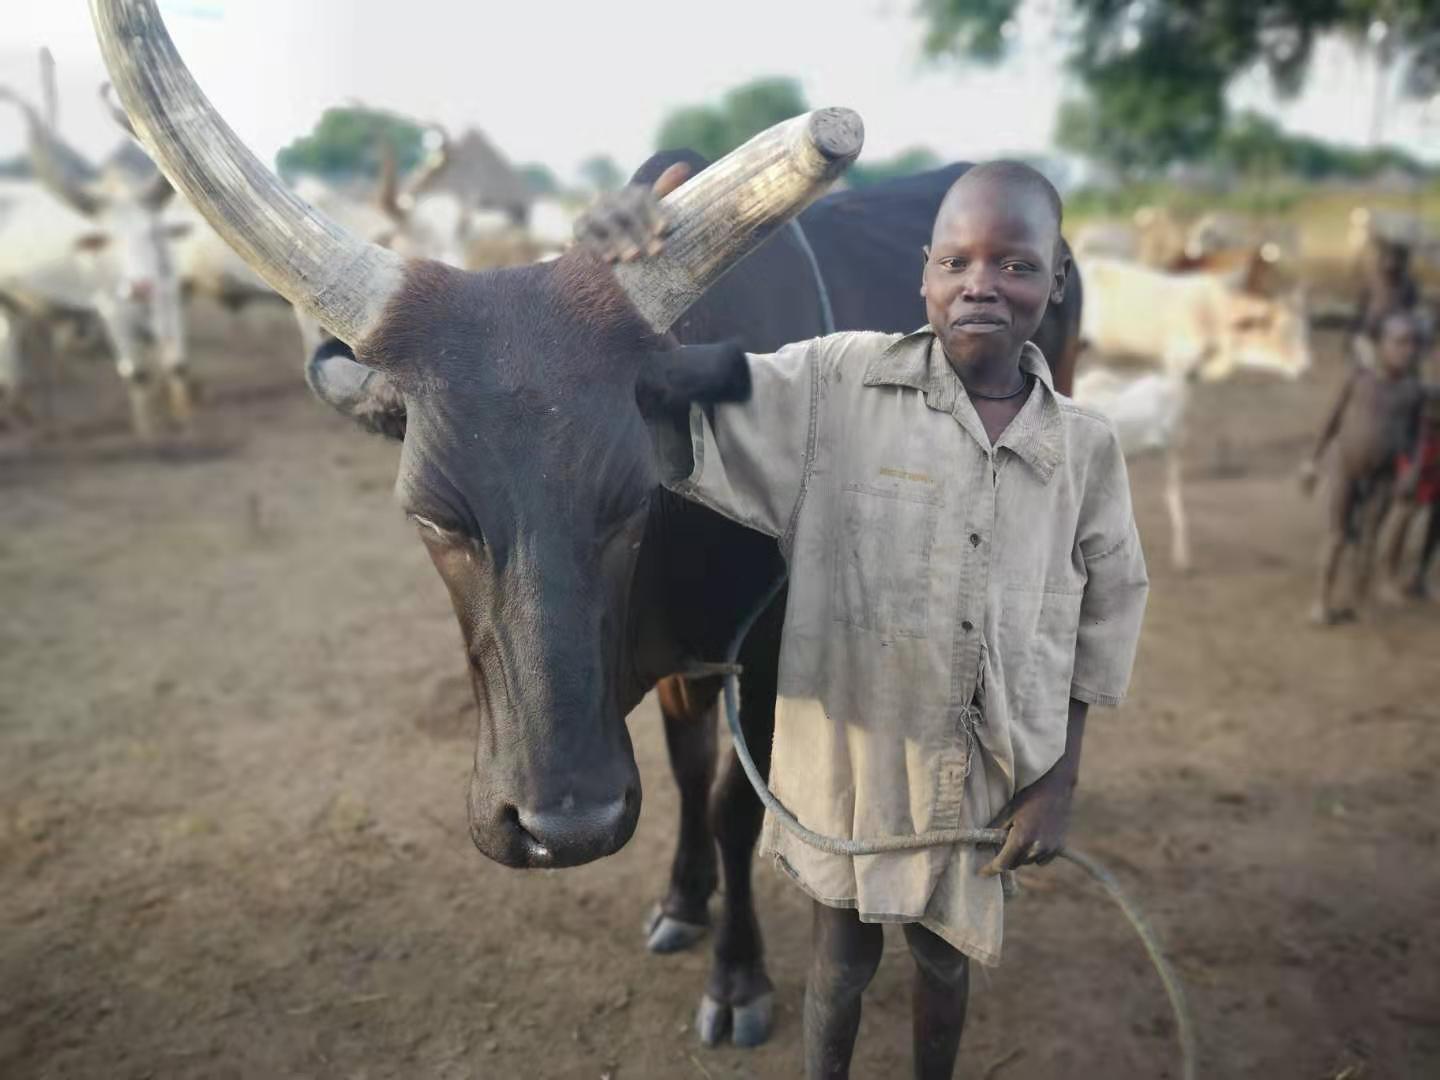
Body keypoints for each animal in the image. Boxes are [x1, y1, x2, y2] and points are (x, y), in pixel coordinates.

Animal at [87, 0, 1082, 1054]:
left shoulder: (771, 653)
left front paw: (738, 976)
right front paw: (683, 904)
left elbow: (734, 804)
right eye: (431, 514)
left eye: (632, 499)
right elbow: (690, 772)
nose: (564, 827)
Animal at [1071, 256, 1319, 570]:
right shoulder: (1177, 363)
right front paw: (1181, 551)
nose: (1306, 367)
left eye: (1304, 330)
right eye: (1283, 331)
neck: (1215, 316)